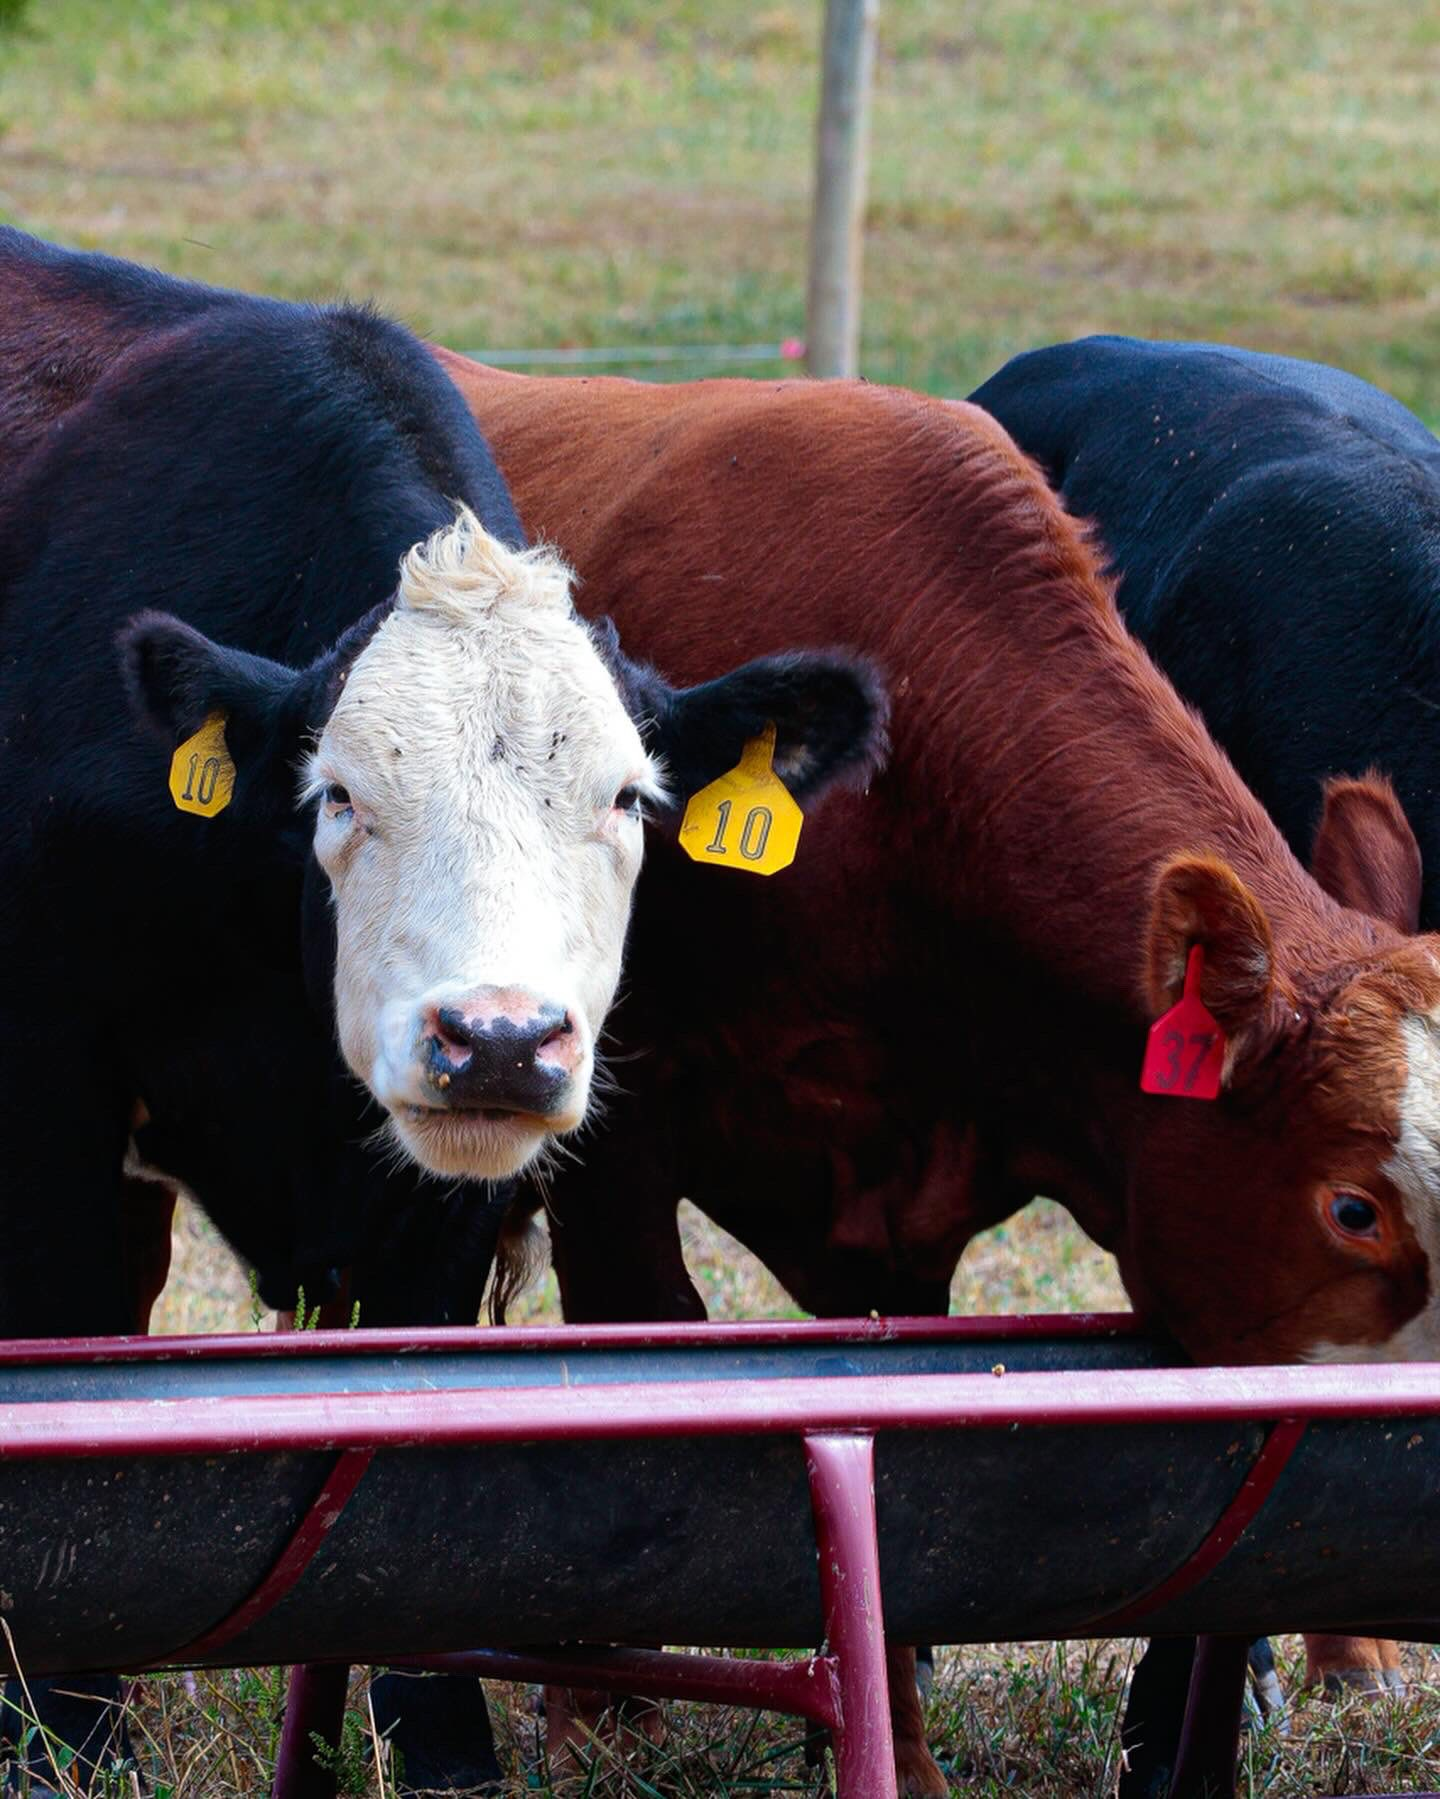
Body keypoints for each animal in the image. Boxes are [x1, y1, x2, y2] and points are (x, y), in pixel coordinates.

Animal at [0, 230, 886, 1794]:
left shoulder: (446, 1203)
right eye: (339, 792)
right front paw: (65, 1736)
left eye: (630, 797)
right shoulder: (53, 1083)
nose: (500, 1039)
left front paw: (444, 1749)